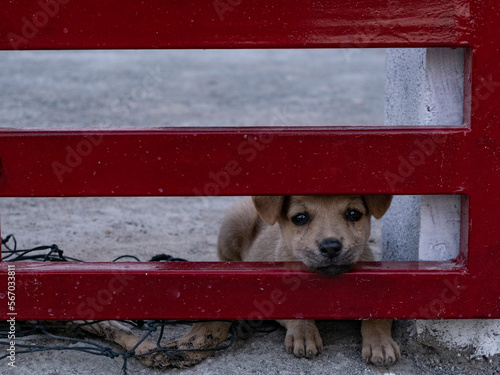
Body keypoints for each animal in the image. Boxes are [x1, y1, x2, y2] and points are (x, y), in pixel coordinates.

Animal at [217, 197, 400, 368]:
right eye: (300, 217)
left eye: (354, 214)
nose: (331, 246)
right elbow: (296, 311)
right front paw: (304, 333)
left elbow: (376, 320)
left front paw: (380, 343)